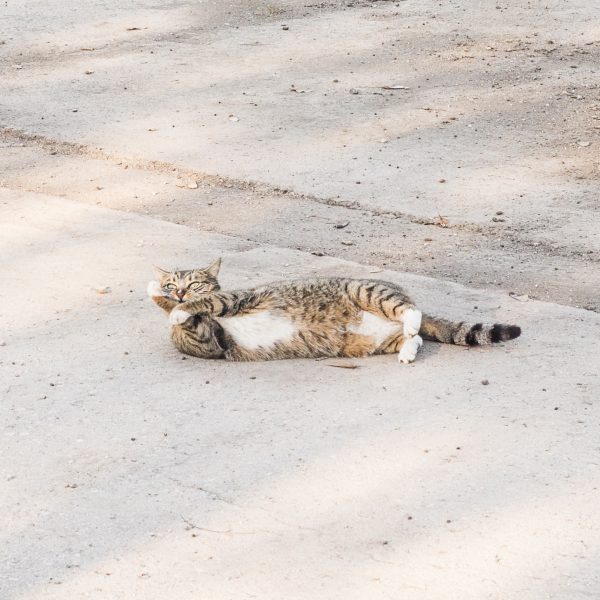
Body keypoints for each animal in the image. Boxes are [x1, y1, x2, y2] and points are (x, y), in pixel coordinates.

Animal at [146, 256, 520, 360]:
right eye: (173, 283)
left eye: (194, 283)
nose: (179, 292)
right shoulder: (211, 340)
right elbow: (189, 322)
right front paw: (167, 301)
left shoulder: (236, 299)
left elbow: (204, 303)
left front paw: (169, 302)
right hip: (378, 341)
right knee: (413, 337)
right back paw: (408, 350)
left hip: (367, 290)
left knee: (409, 310)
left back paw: (412, 320)